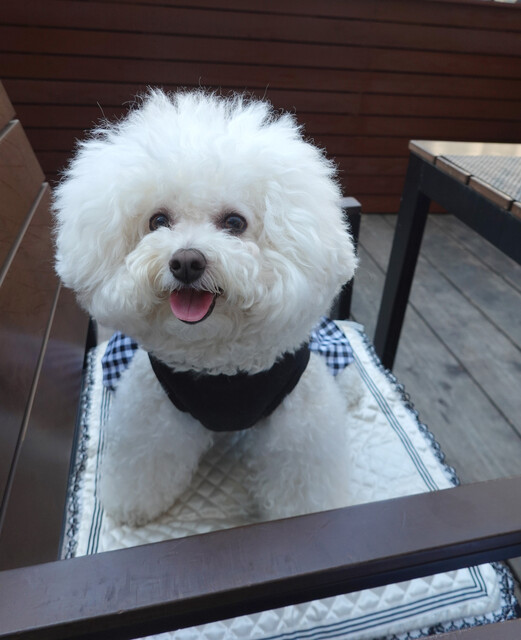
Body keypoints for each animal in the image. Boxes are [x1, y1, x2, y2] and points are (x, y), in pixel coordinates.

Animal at [53, 89, 358, 526]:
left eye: (234, 223)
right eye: (158, 220)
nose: (186, 262)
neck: (219, 365)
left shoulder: (298, 427)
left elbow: (300, 479)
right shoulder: (154, 414)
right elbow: (146, 460)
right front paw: (134, 503)